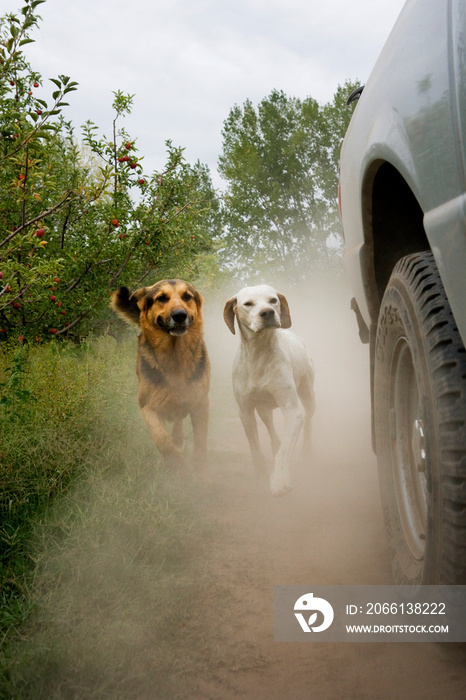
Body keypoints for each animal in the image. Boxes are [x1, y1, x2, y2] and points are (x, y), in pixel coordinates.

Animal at [111, 278, 209, 470]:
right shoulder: (148, 407)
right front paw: (177, 464)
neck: (175, 356)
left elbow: (201, 441)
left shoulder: (200, 402)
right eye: (161, 298)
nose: (179, 315)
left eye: (187, 296)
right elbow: (162, 440)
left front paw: (199, 469)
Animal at [223, 282, 316, 494]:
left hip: (308, 395)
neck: (259, 354)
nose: (267, 312)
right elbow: (255, 448)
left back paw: (307, 451)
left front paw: (280, 478)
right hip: (263, 409)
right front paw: (261, 475)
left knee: (307, 421)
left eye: (273, 300)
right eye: (248, 303)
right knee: (271, 430)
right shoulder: (245, 411)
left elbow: (284, 453)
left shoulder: (292, 411)